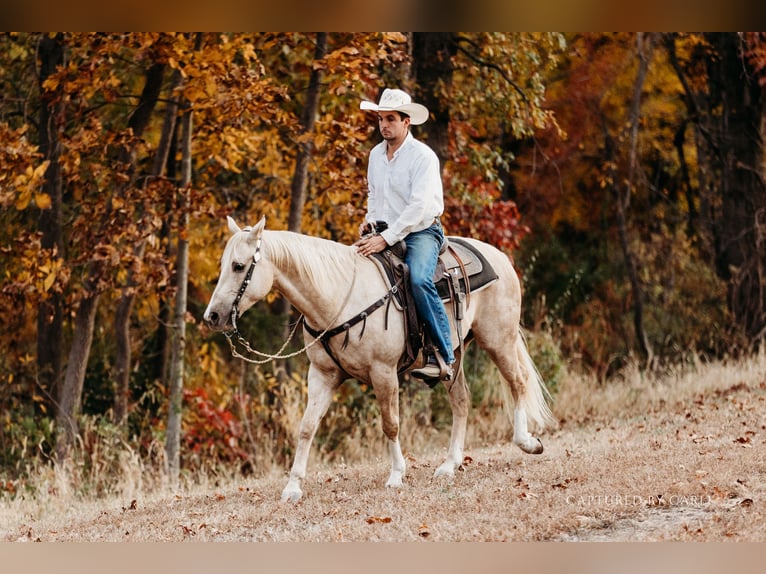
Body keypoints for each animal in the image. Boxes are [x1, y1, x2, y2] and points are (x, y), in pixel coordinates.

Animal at [203, 216, 555, 502]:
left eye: (238, 266)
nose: (213, 316)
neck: (338, 298)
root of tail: (500, 257)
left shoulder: (383, 372)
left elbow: (390, 423)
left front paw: (397, 475)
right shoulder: (322, 375)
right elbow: (306, 427)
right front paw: (293, 487)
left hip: (498, 339)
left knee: (518, 382)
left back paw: (527, 442)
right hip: (454, 356)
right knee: (461, 401)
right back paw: (449, 465)